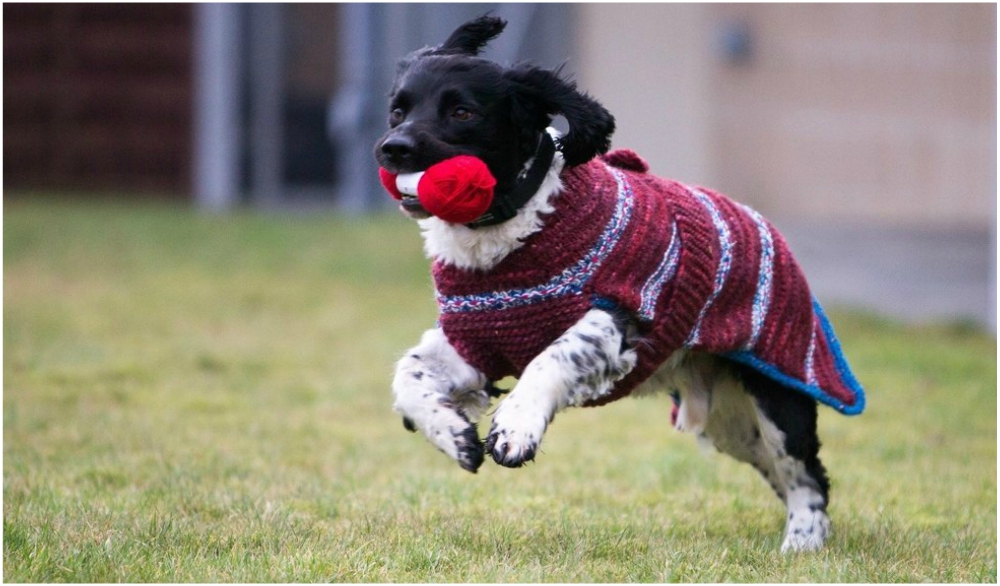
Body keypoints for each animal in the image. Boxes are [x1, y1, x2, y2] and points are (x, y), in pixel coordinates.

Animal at [372, 16, 864, 548]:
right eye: (397, 110)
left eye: (461, 111)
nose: (393, 147)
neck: (520, 227)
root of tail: (769, 230)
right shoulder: (476, 340)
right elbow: (408, 375)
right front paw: (454, 434)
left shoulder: (617, 314)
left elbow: (552, 357)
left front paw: (516, 427)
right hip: (730, 422)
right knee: (784, 471)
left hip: (776, 394)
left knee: (807, 475)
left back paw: (802, 542)